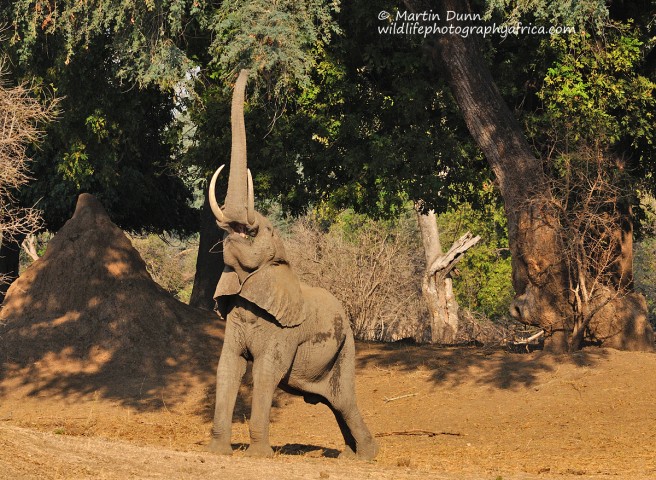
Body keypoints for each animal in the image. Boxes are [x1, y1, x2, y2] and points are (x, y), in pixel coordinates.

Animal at [208, 69, 376, 460]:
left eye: (263, 231)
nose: (248, 70)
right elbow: (228, 367)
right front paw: (218, 451)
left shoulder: (283, 332)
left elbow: (265, 372)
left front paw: (257, 455)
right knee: (333, 403)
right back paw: (348, 455)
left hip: (347, 347)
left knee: (344, 400)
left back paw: (366, 456)